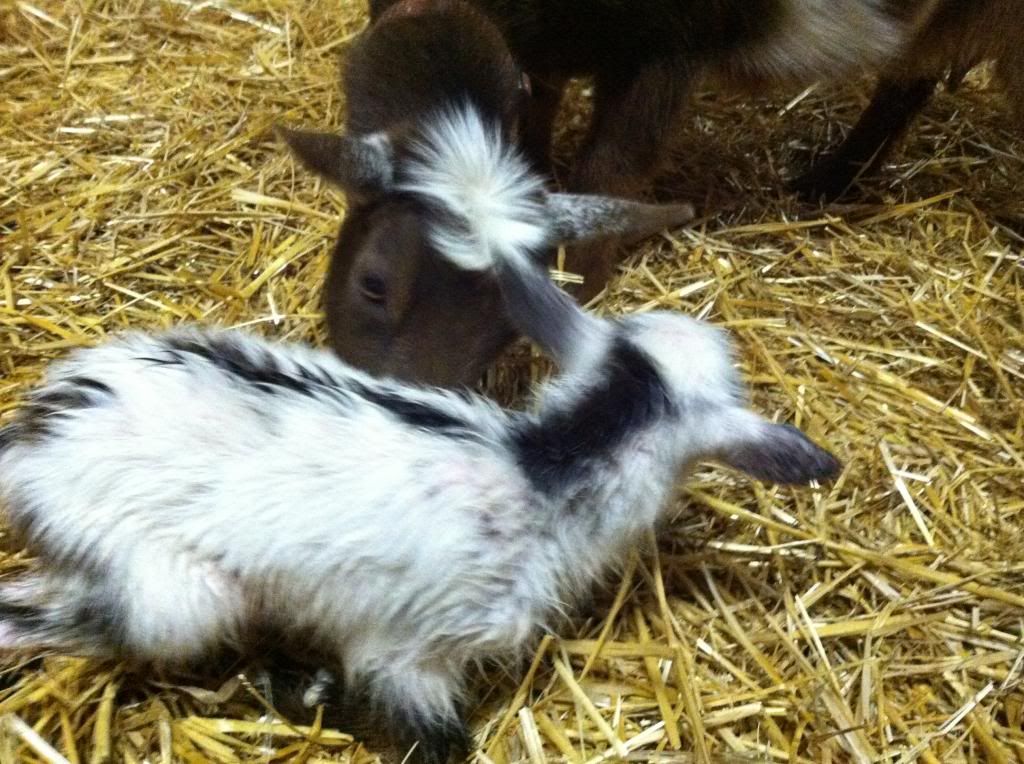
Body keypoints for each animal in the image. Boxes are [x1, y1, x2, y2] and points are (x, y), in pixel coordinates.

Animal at [0, 222, 840, 764]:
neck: (549, 464)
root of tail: (35, 443)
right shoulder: (412, 652)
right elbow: (438, 736)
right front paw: (314, 698)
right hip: (175, 593)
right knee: (62, 617)